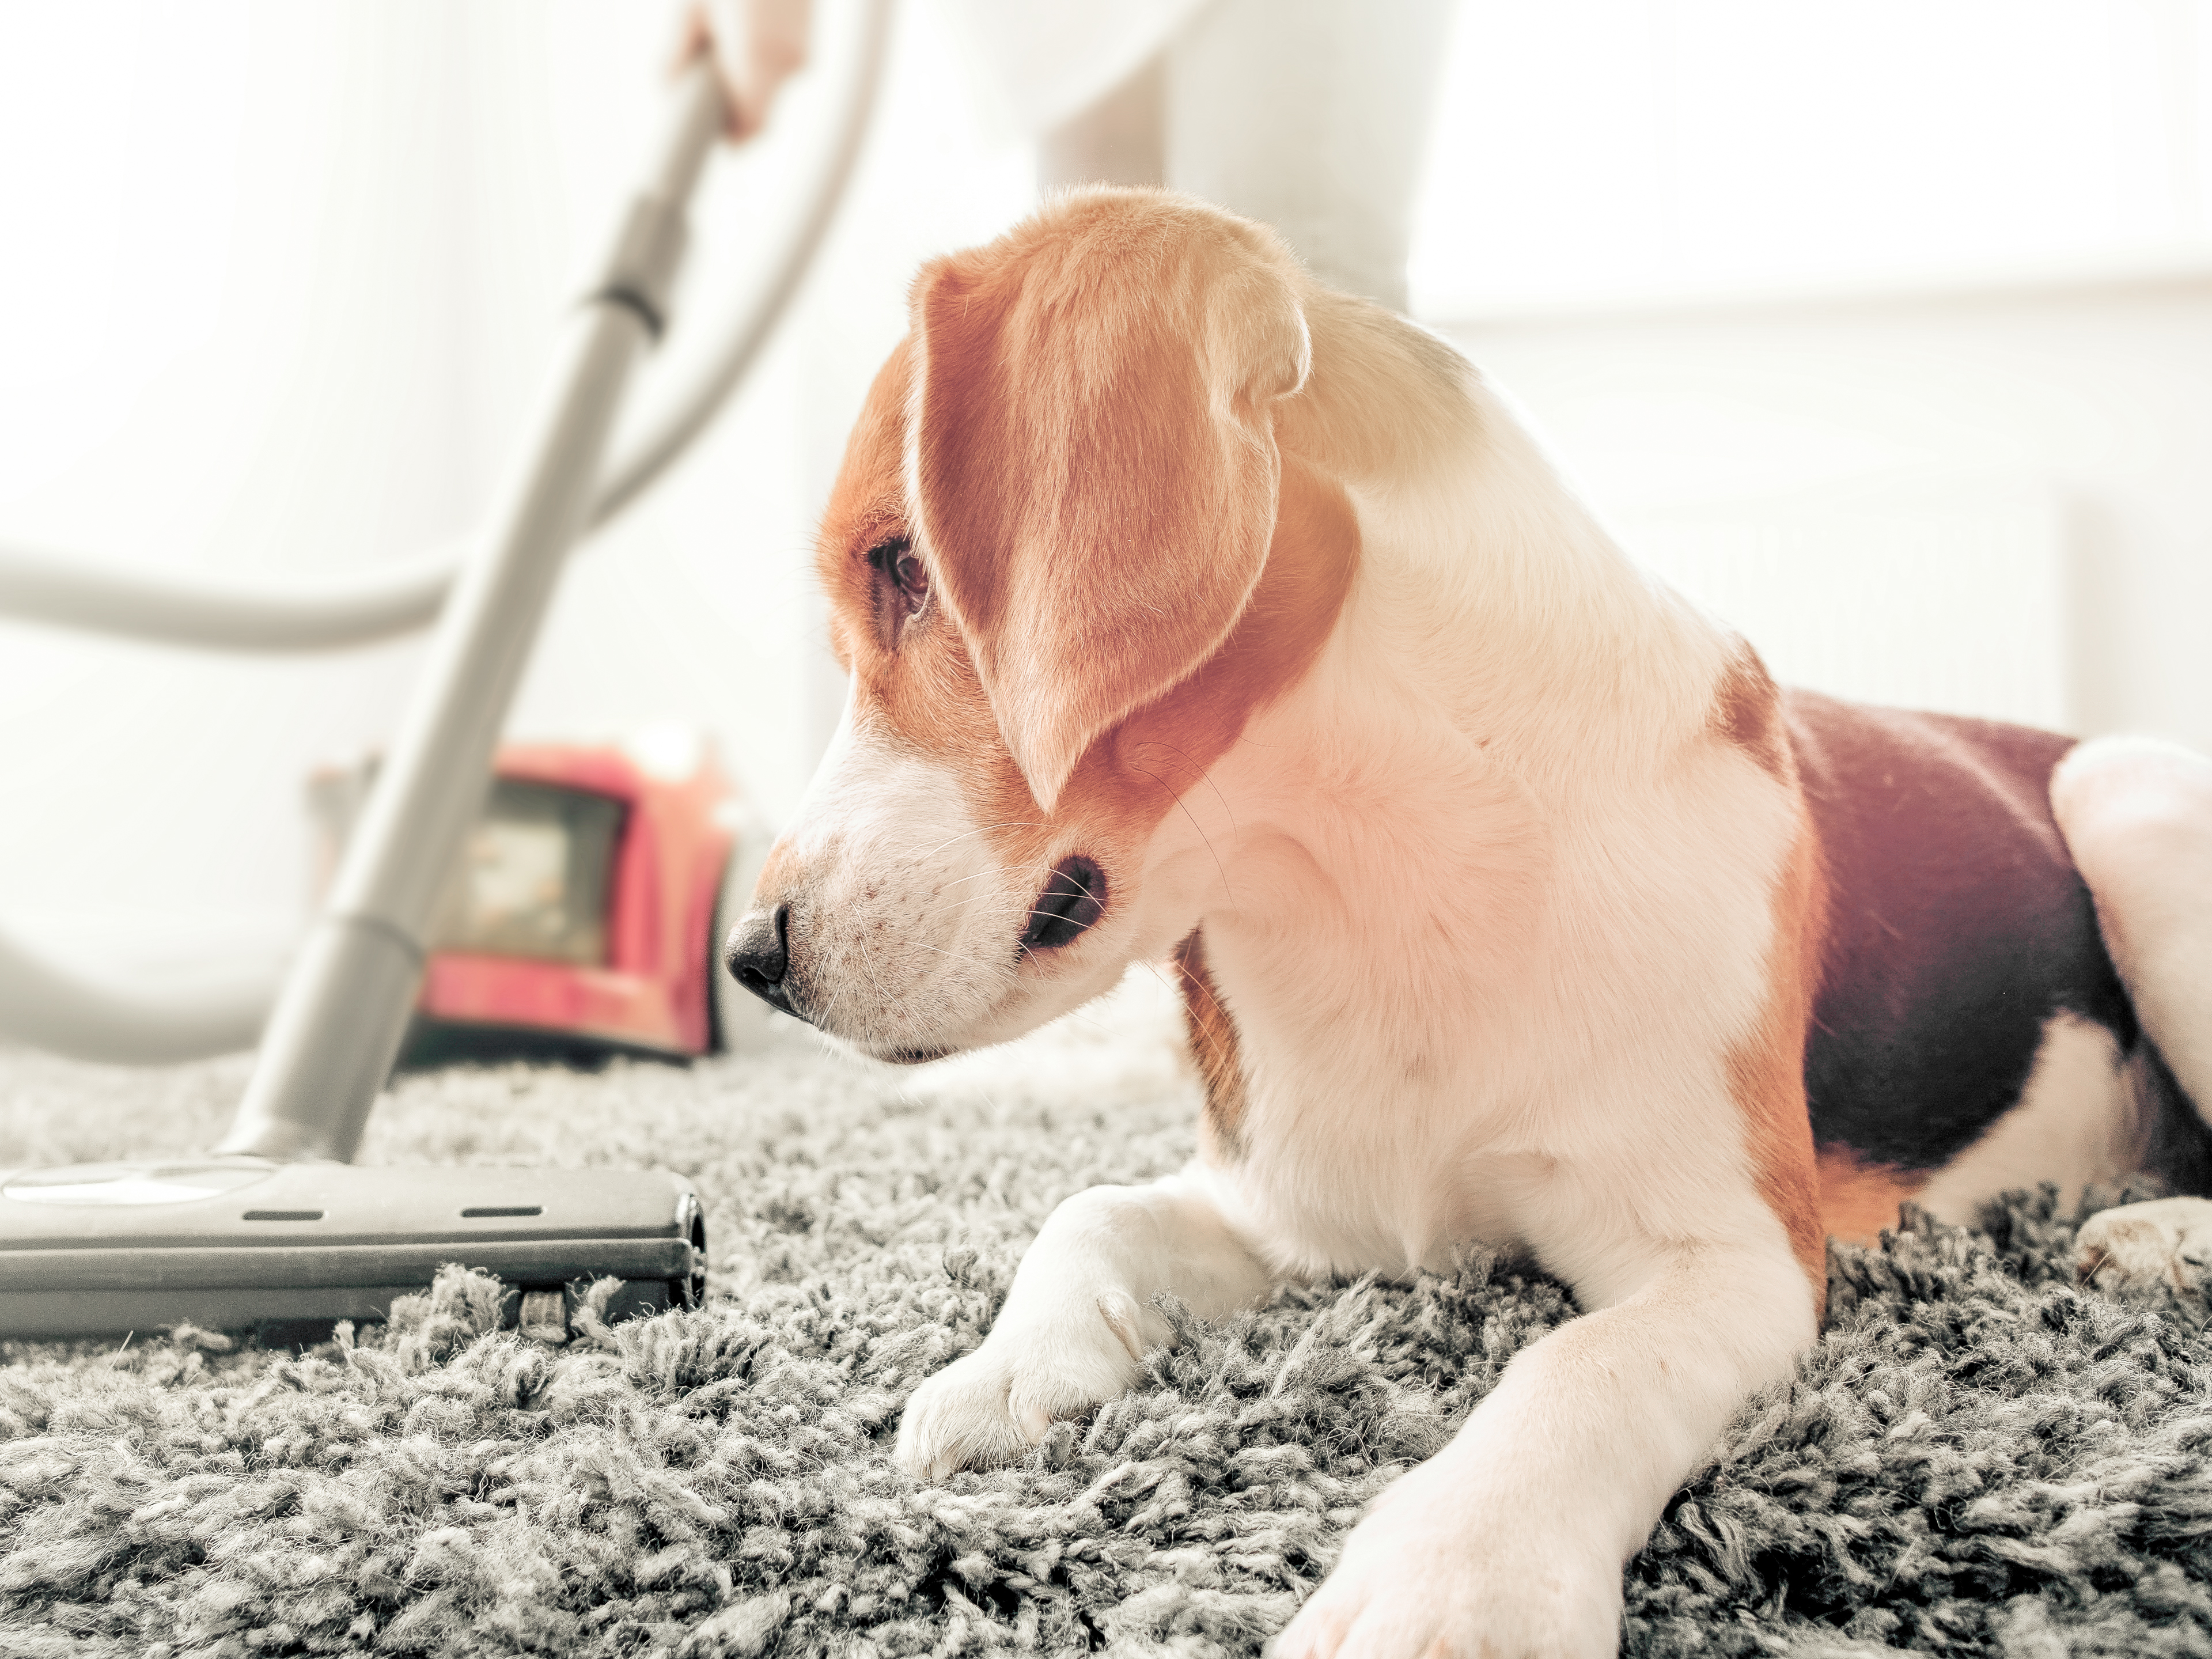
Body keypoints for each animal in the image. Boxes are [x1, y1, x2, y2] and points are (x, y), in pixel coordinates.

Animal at [725, 194, 2212, 1659]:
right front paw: (1007, 1374)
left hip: (2122, 803)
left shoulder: (1738, 1260)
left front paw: (1450, 1586)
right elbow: (1087, 1211)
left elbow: (1577, 1365)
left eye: (905, 568)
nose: (751, 959)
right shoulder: (1291, 1208)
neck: (1385, 874)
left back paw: (2156, 1236)